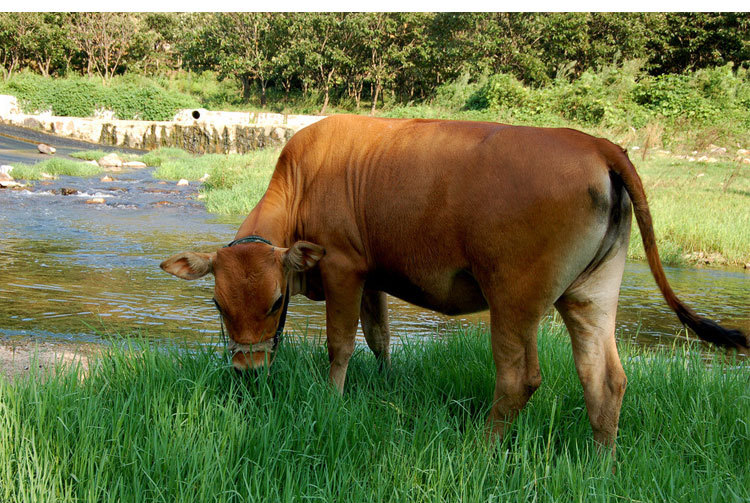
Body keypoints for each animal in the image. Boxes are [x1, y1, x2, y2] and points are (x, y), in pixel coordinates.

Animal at [162, 115, 748, 452]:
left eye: (276, 301)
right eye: (217, 304)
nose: (246, 371)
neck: (303, 180)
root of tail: (598, 144)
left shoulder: (344, 268)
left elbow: (341, 344)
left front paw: (332, 400)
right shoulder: (373, 275)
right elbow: (380, 337)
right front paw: (387, 384)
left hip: (514, 299)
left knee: (520, 379)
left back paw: (482, 450)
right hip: (591, 295)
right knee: (604, 379)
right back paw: (600, 464)